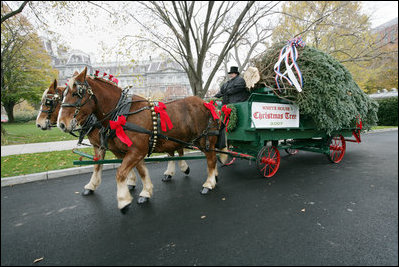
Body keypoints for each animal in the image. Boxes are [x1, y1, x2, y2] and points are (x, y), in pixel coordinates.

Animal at [57, 67, 223, 214]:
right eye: (62, 95)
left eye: (76, 93)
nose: (61, 124)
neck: (122, 114)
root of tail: (207, 103)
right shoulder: (128, 151)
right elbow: (140, 171)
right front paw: (145, 192)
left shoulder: (136, 150)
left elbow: (120, 173)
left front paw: (123, 201)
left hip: (205, 140)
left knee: (211, 159)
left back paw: (209, 183)